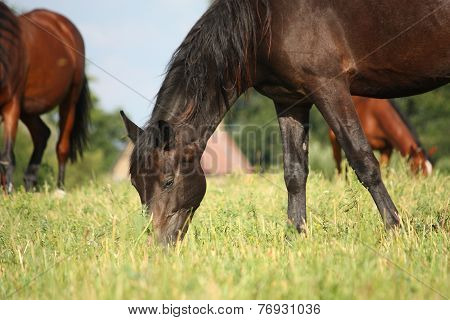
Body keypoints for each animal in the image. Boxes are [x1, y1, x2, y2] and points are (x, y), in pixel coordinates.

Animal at [0, 8, 91, 192]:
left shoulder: (11, 105)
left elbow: (6, 157)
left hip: (69, 100)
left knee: (62, 146)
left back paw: (59, 190)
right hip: (28, 109)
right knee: (42, 133)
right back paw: (30, 183)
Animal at [119, 0, 450, 245]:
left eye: (168, 181)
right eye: (136, 184)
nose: (156, 245)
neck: (267, 21)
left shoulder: (330, 87)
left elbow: (363, 161)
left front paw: (395, 229)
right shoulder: (291, 100)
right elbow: (294, 173)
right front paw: (296, 237)